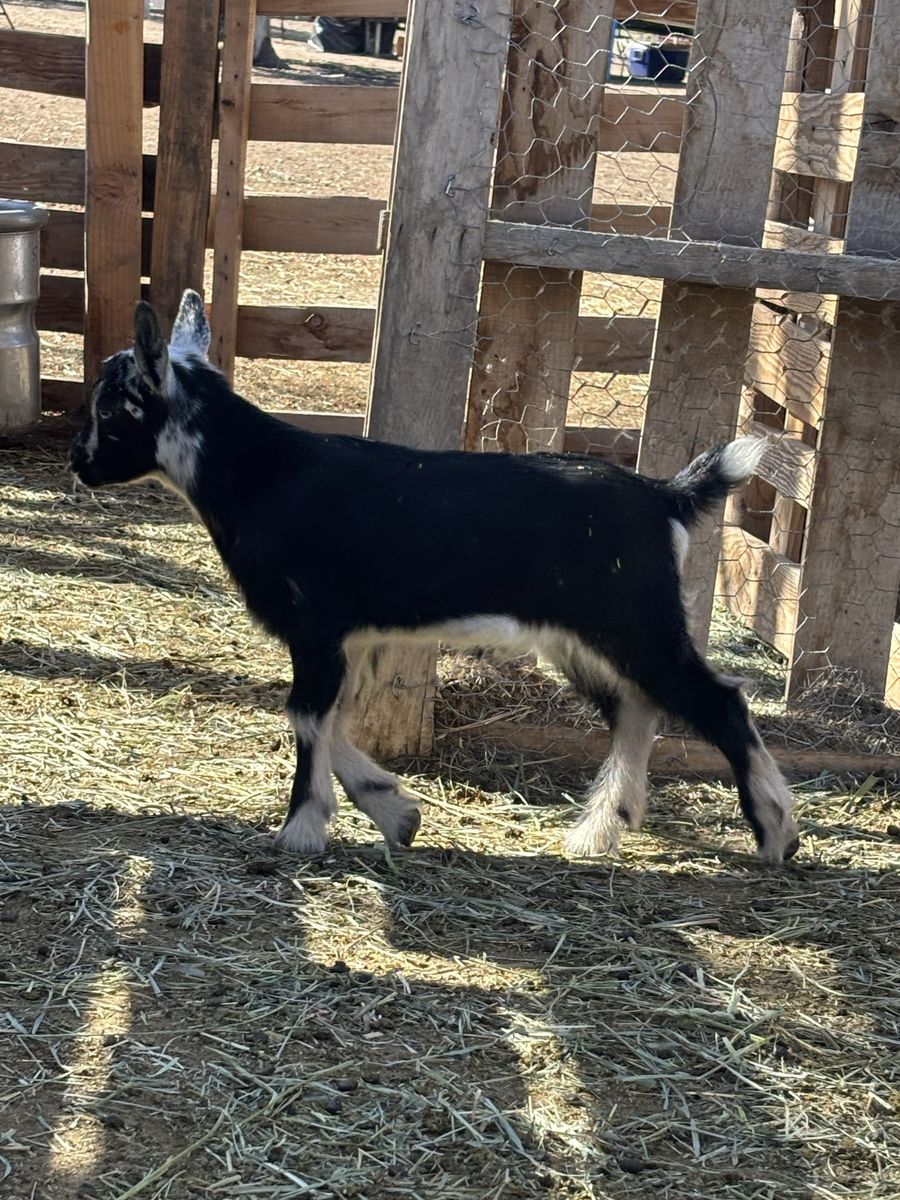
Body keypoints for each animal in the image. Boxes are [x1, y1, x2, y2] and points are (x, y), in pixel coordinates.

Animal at [70, 290, 800, 863]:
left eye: (109, 409)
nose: (79, 462)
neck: (261, 476)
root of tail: (664, 495)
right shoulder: (349, 638)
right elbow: (330, 719)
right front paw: (395, 809)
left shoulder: (315, 625)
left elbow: (306, 716)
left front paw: (301, 830)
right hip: (586, 636)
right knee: (636, 708)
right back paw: (602, 831)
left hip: (635, 620)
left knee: (716, 702)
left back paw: (775, 834)